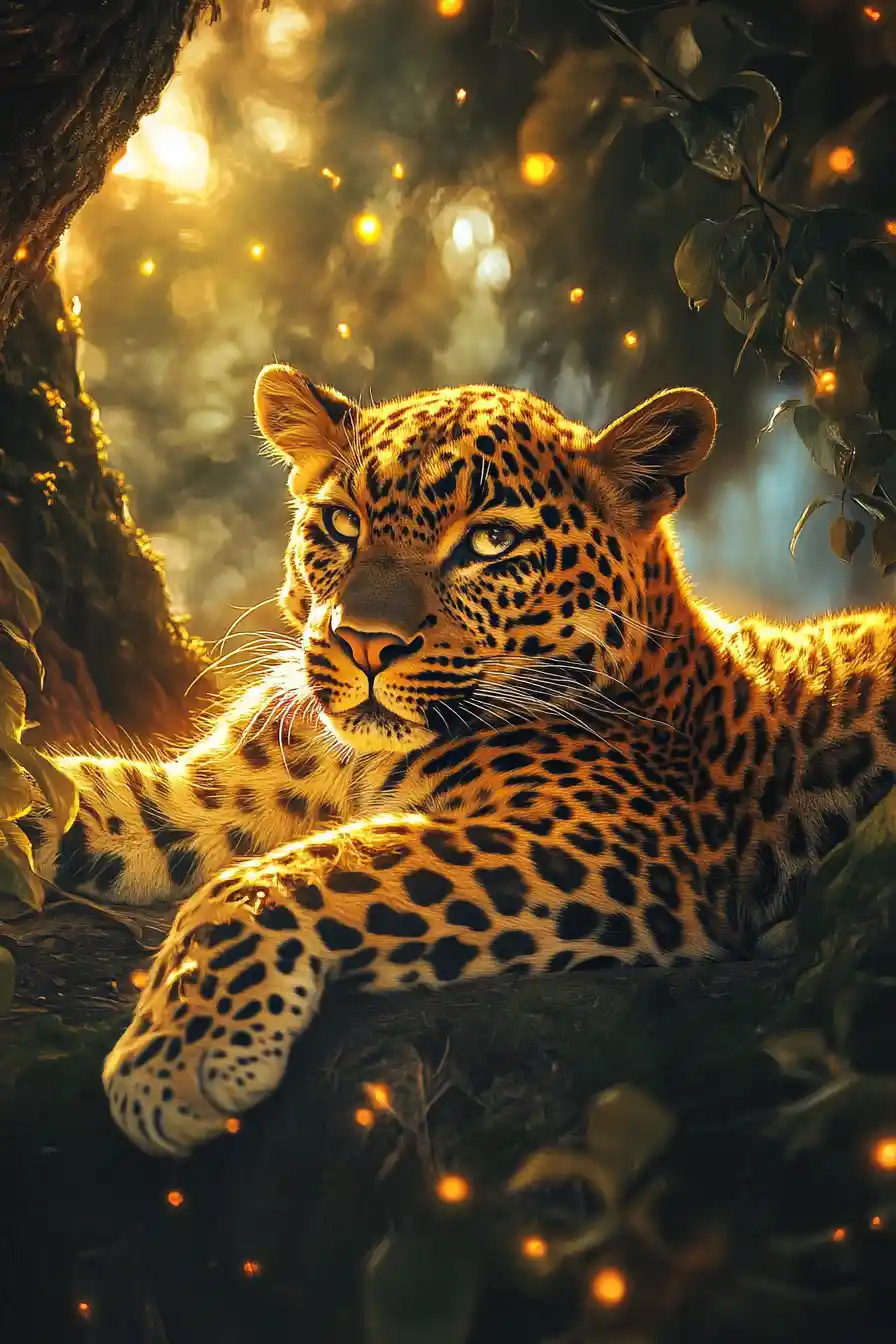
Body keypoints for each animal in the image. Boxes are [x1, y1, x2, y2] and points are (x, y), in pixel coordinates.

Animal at [25, 363, 896, 1159]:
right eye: (341, 523)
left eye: (491, 542)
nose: (363, 642)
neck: (350, 762)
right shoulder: (206, 796)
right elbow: (62, 791)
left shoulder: (607, 844)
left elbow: (289, 875)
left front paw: (175, 1060)